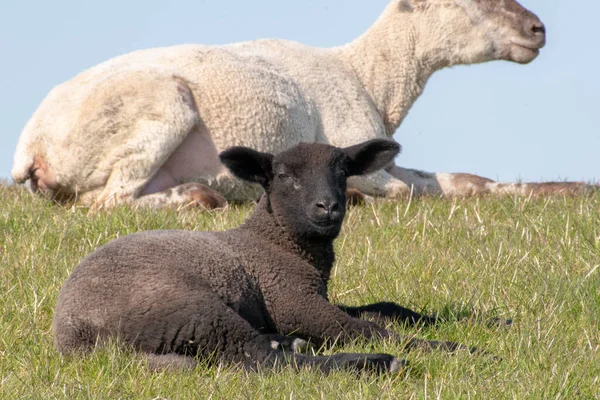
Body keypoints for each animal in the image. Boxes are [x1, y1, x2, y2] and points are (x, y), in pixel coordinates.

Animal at [9, 0, 592, 208]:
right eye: (471, 0)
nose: (538, 29)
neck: (369, 78)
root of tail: (30, 147)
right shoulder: (363, 156)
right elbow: (406, 192)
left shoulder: (386, 156)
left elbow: (468, 181)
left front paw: (569, 190)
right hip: (159, 109)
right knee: (103, 202)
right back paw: (203, 195)